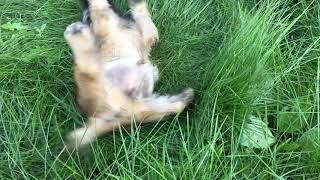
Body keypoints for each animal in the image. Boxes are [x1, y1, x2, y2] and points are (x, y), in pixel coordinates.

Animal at [62, 0, 192, 149]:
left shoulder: (142, 37)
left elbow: (144, 22)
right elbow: (100, 8)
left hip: (140, 106)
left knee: (166, 108)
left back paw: (184, 97)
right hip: (104, 87)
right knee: (87, 67)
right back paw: (76, 34)